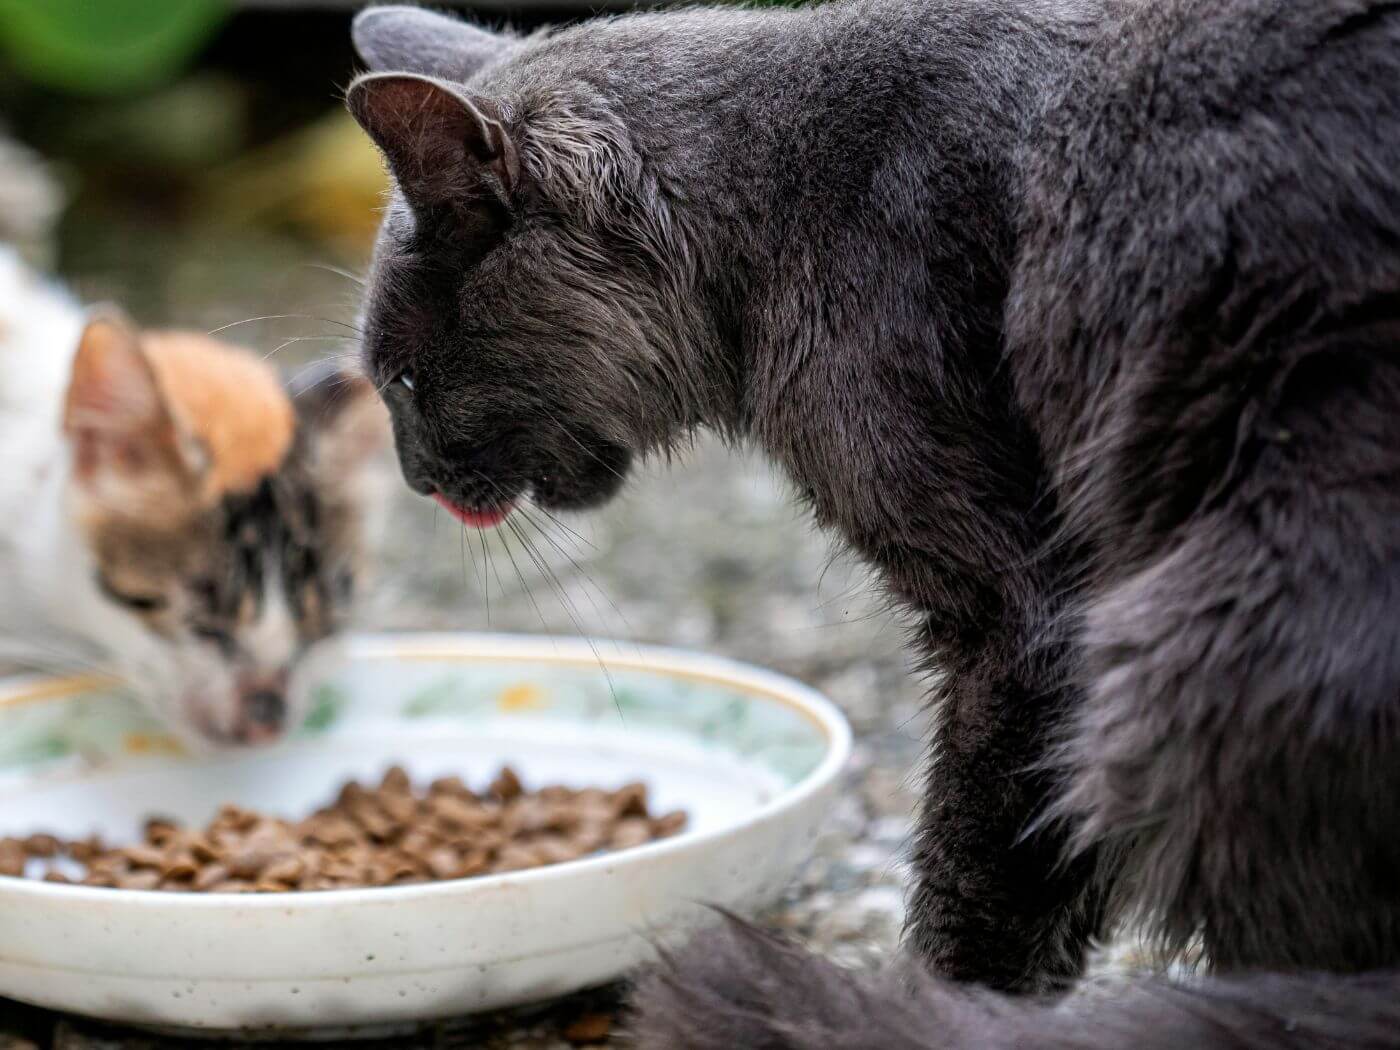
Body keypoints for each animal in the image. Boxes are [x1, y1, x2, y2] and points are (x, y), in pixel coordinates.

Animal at [344, 2, 1400, 1047]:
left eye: (406, 380)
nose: (414, 477)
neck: (782, 204)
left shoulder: (1025, 615)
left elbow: (982, 866)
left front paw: (935, 1004)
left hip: (1190, 635)